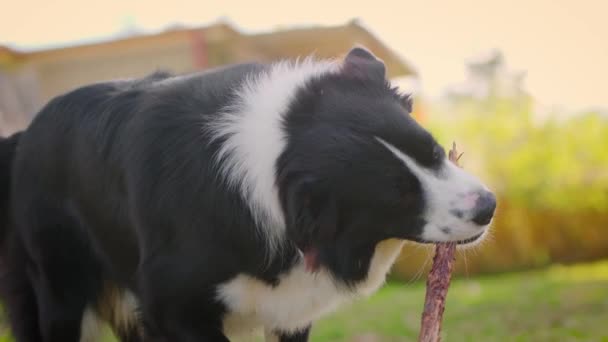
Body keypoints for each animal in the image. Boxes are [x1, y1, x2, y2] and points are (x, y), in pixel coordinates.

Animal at [0, 46, 496, 342]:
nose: (489, 208)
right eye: (399, 194)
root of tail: (20, 139)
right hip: (61, 285)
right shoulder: (173, 305)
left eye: (434, 151)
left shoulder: (288, 308)